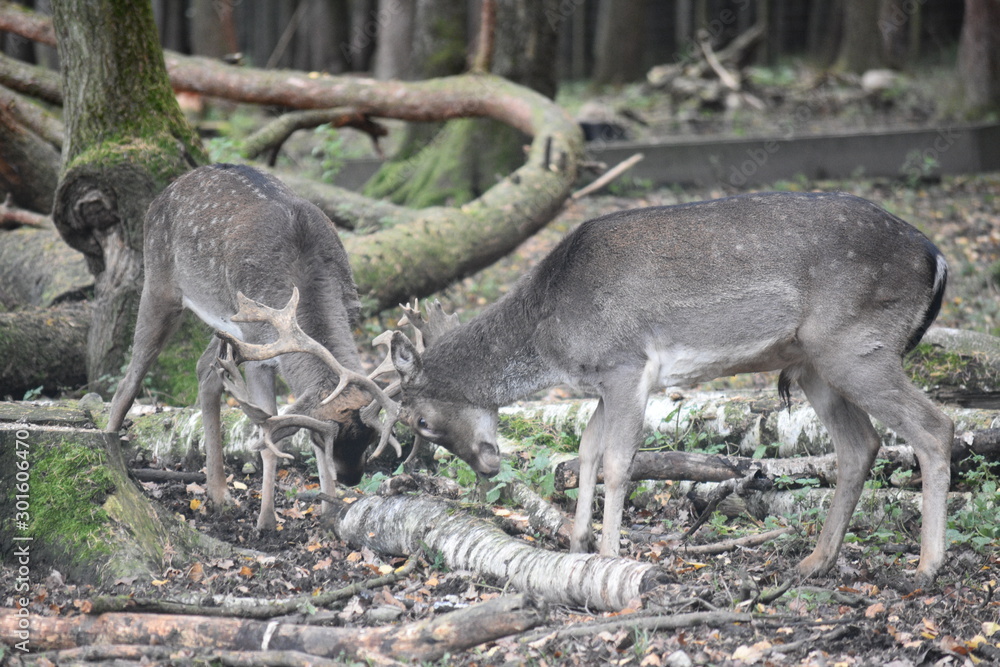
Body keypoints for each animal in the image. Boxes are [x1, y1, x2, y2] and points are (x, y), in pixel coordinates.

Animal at [104, 163, 394, 532]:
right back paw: (112, 457)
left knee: (206, 371)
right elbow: (269, 436)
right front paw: (266, 521)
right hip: (160, 283)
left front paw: (329, 513)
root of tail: (164, 192)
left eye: (369, 438)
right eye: (322, 440)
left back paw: (218, 493)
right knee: (129, 381)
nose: (352, 479)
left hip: (228, 320)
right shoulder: (260, 349)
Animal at [388, 190, 952, 580]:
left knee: (934, 427)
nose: (486, 466)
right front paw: (576, 543)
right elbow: (585, 450)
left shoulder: (627, 363)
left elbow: (618, 462)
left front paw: (610, 554)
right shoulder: (604, 381)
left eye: (420, 421)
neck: (552, 334)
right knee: (861, 444)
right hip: (815, 362)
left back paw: (926, 567)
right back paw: (815, 562)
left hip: (856, 346)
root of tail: (936, 257)